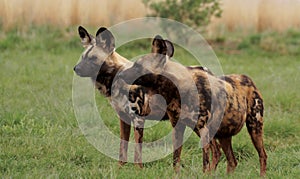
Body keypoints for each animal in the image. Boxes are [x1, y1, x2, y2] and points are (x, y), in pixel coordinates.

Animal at [118, 35, 268, 176]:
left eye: (137, 65)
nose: (119, 74)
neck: (176, 89)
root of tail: (248, 79)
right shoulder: (178, 127)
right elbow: (175, 160)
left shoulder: (203, 129)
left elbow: (206, 163)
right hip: (223, 135)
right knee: (232, 160)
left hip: (254, 128)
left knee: (262, 156)